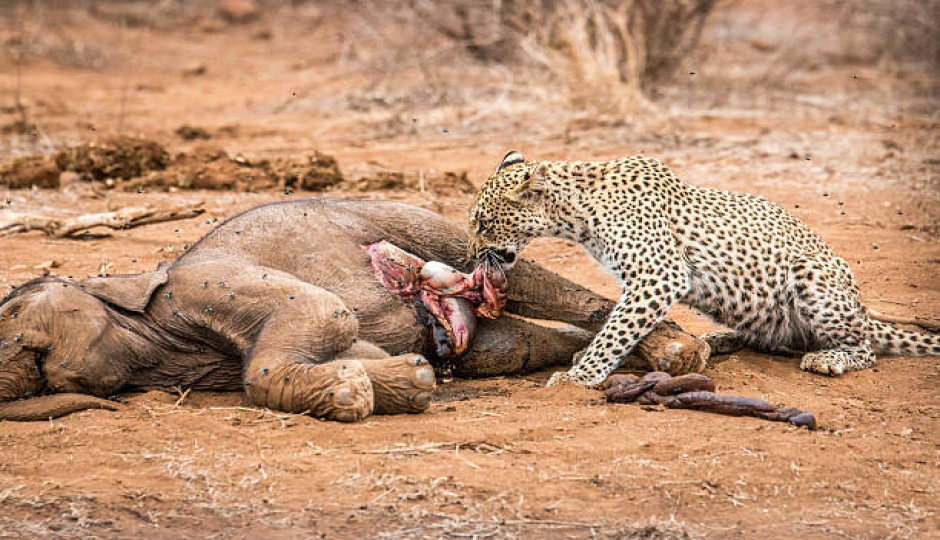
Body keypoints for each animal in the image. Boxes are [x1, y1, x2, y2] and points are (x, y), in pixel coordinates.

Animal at [464, 151, 940, 388]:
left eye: (483, 222)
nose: (470, 255)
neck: (575, 213)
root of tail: (864, 310)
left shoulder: (660, 274)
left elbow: (618, 328)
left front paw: (581, 374)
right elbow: (619, 323)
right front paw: (586, 360)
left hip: (813, 273)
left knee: (865, 346)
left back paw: (829, 358)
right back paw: (719, 338)